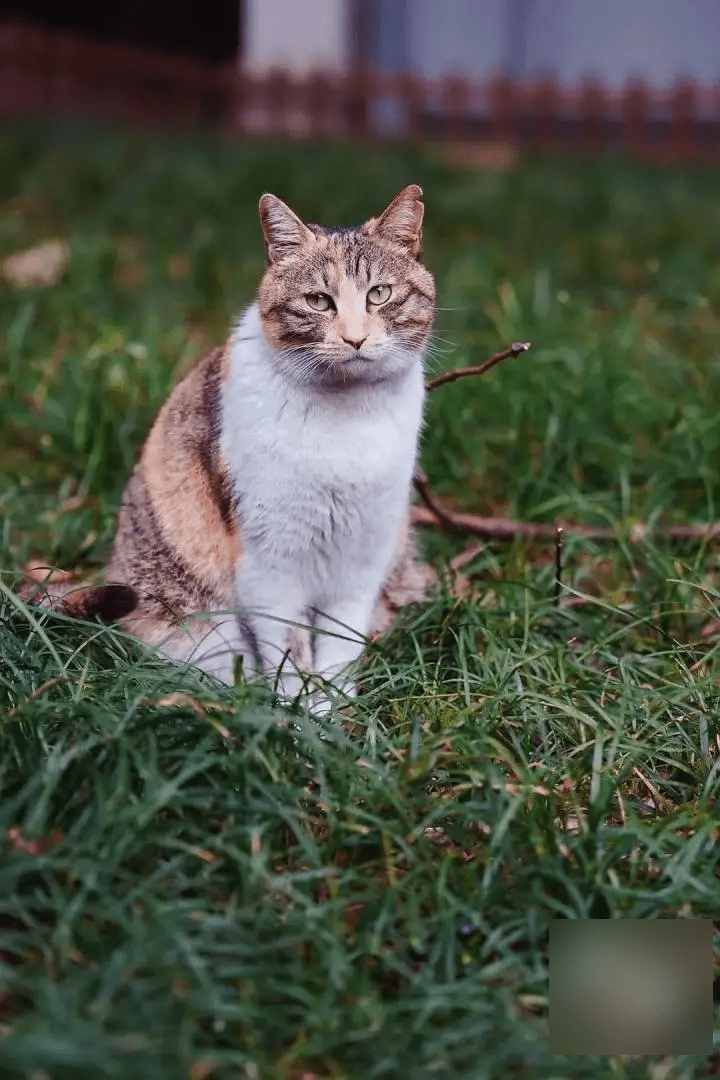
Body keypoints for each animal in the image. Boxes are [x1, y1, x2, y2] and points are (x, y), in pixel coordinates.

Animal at [25, 185, 436, 708]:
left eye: (379, 294)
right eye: (318, 301)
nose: (356, 339)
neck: (349, 416)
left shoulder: (363, 557)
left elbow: (339, 648)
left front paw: (337, 707)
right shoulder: (269, 565)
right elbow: (290, 653)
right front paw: (305, 716)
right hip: (199, 627)